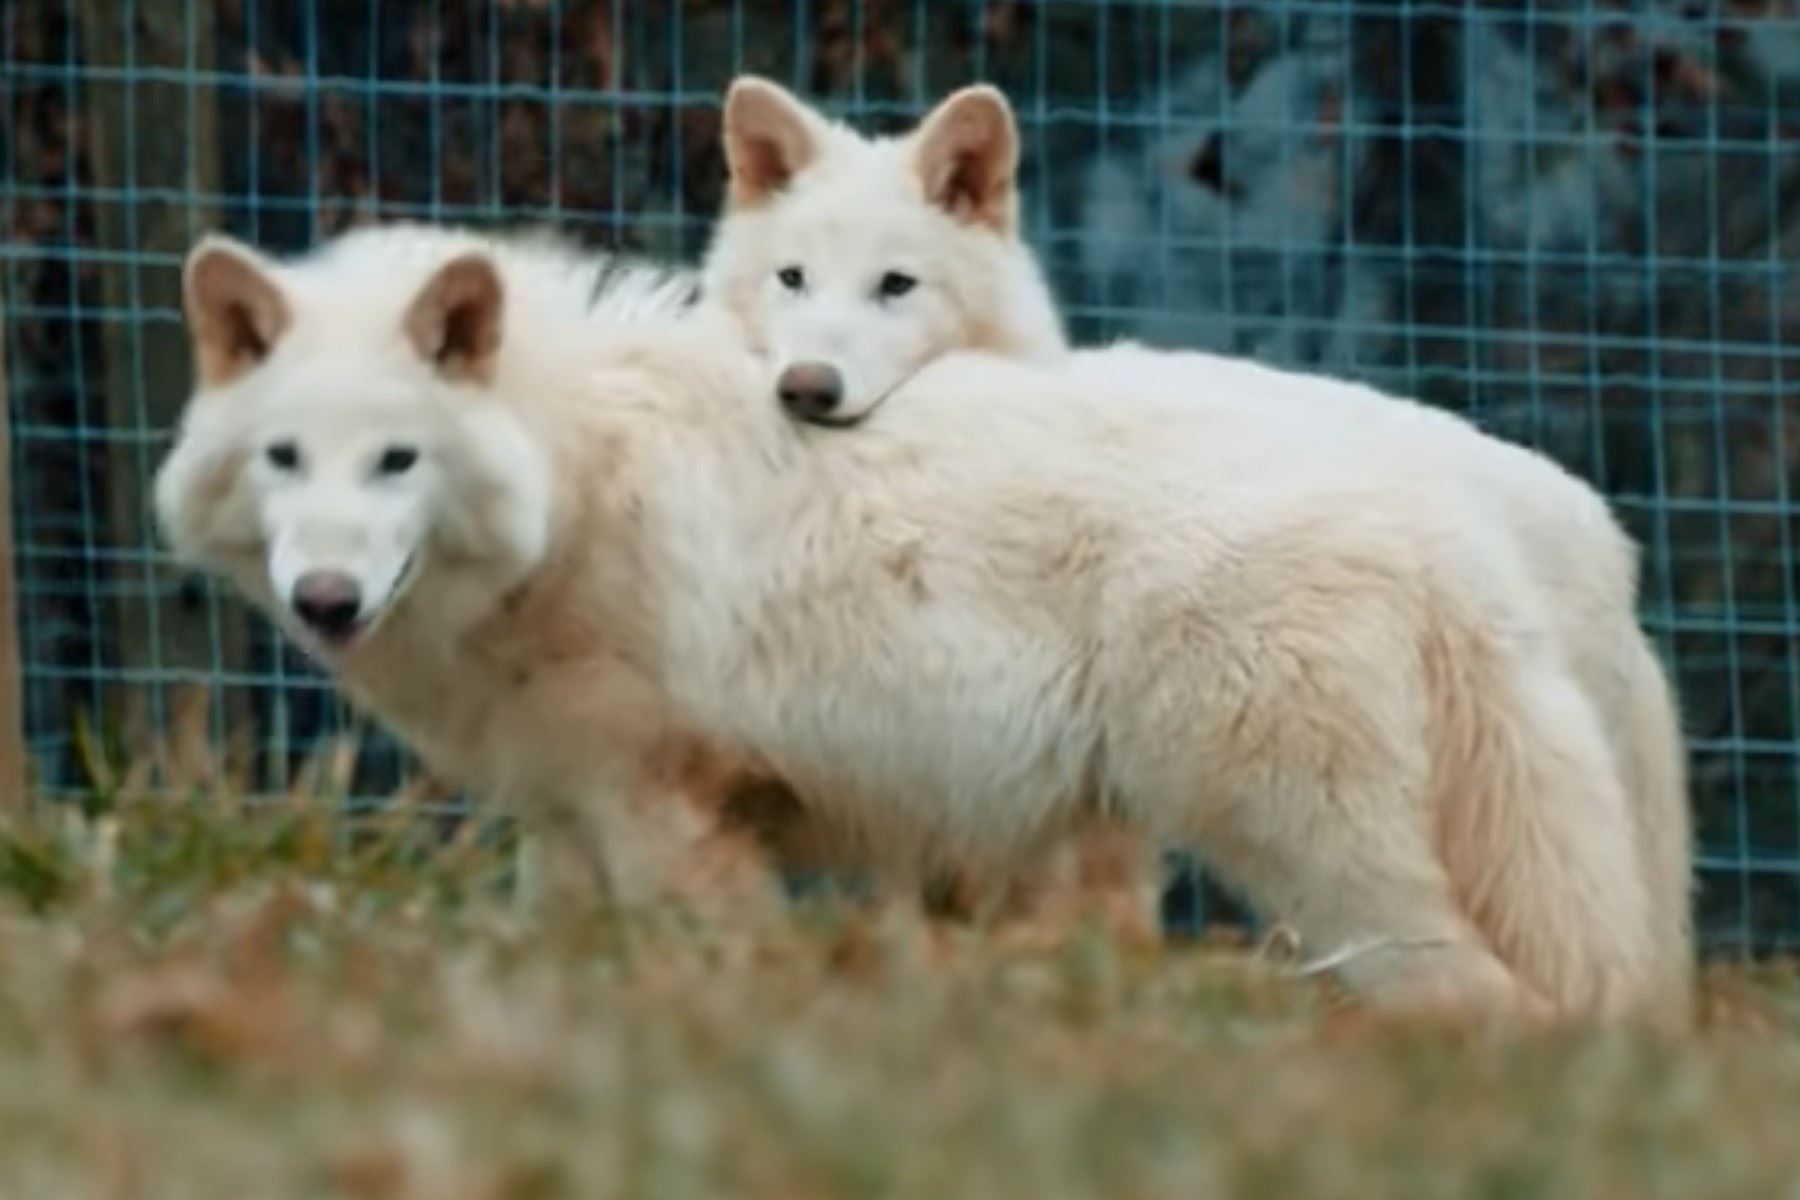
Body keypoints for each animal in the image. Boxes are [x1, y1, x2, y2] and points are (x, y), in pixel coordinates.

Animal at [157, 223, 1690, 1023]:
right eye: (285, 460)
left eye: (396, 463)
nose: (329, 599)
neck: (577, 477)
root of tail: (1476, 527)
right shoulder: (569, 823)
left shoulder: (670, 817)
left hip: (1309, 859)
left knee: (1488, 1001)